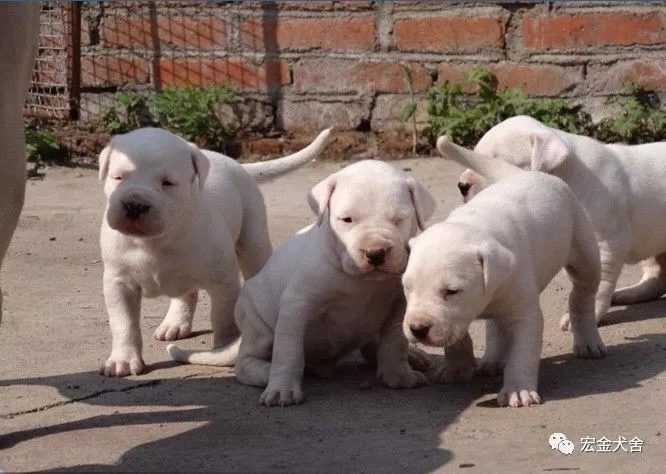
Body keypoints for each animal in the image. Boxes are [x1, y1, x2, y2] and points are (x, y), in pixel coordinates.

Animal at [98, 127, 332, 378]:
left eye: (168, 183)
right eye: (118, 177)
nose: (134, 205)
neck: (155, 242)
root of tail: (236, 163)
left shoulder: (223, 282)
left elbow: (223, 318)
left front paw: (224, 348)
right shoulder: (119, 282)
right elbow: (124, 322)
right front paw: (122, 360)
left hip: (253, 239)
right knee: (186, 293)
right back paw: (174, 323)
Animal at [169, 161, 436, 406]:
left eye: (399, 219)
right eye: (347, 219)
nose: (375, 253)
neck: (363, 282)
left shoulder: (399, 306)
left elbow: (394, 343)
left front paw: (399, 375)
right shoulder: (296, 306)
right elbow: (289, 352)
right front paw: (282, 389)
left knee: (370, 344)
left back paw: (411, 355)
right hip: (257, 323)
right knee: (245, 362)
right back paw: (265, 373)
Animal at [402, 137, 604, 408]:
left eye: (452, 291)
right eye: (407, 287)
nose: (417, 329)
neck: (475, 226)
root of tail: (526, 174)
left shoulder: (525, 316)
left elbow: (522, 353)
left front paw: (518, 390)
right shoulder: (458, 316)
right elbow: (458, 336)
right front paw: (456, 367)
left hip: (584, 251)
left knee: (582, 296)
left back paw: (588, 341)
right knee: (497, 324)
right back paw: (492, 359)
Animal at [462, 115, 666, 330]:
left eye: (493, 161)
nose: (461, 186)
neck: (570, 172)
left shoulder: (608, 243)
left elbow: (599, 282)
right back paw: (630, 293)